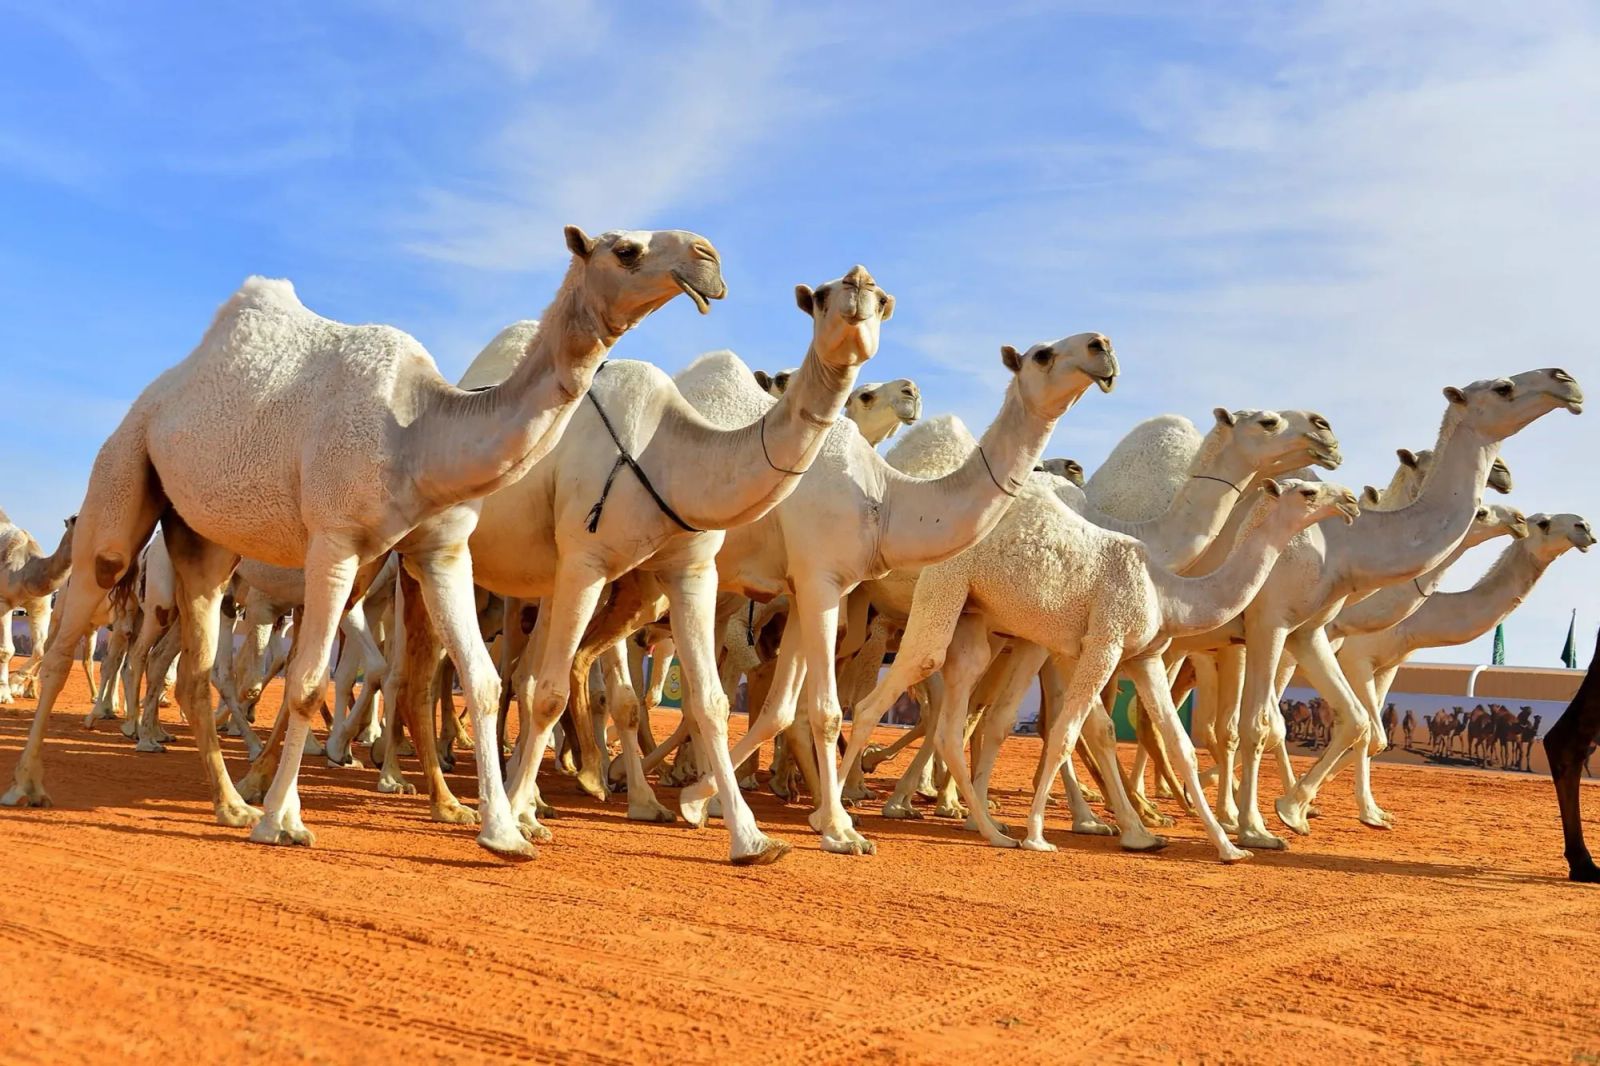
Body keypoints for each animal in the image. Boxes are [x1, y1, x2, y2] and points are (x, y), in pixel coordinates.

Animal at [0, 510, 75, 704]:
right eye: (74, 519)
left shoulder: (40, 605)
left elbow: (41, 649)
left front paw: (14, 685)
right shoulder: (4, 600)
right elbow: (7, 649)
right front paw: (4, 694)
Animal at [398, 265, 890, 865]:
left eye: (882, 299)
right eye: (820, 298)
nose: (857, 286)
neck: (669, 454)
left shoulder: (691, 570)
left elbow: (711, 701)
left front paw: (750, 838)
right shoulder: (585, 561)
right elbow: (551, 692)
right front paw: (519, 819)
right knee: (420, 674)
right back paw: (451, 802)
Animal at [676, 334, 1121, 855]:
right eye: (1043, 354)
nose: (1101, 346)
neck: (886, 498)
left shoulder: (809, 583)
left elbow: (781, 710)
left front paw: (697, 801)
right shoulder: (819, 580)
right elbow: (827, 710)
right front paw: (839, 829)